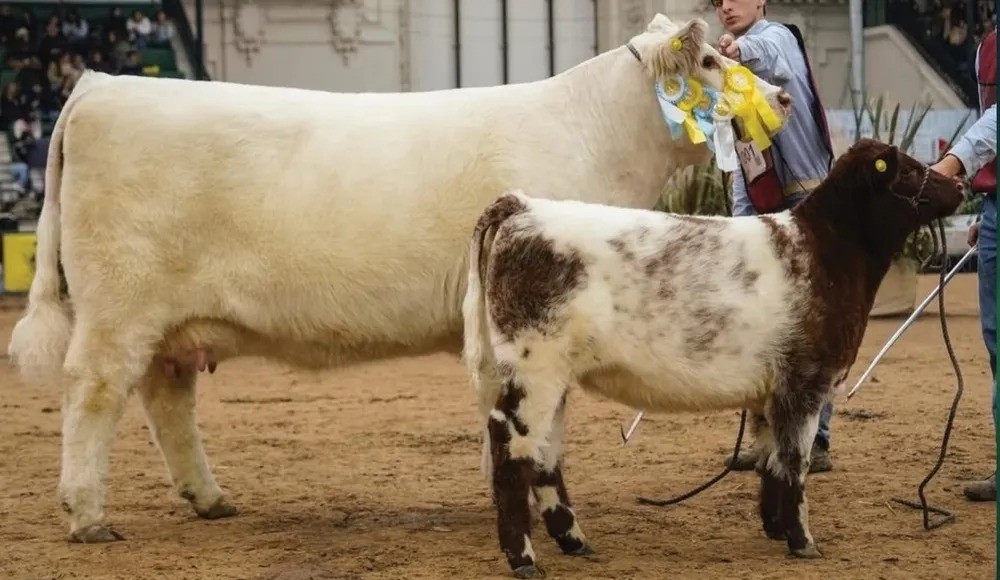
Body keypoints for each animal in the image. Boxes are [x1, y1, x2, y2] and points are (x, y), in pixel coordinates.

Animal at [6, 14, 791, 543]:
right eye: (714, 61)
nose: (782, 98)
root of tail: (100, 85)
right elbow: (539, 417)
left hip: (169, 320)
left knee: (167, 397)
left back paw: (208, 497)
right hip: (118, 305)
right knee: (94, 392)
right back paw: (86, 515)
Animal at [461, 138, 965, 578]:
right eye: (909, 170)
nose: (960, 185)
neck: (827, 252)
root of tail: (523, 205)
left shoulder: (770, 390)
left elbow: (770, 459)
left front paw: (775, 528)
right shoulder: (806, 381)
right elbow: (795, 462)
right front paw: (803, 541)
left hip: (552, 375)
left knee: (545, 454)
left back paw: (575, 541)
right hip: (534, 366)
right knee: (510, 446)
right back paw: (524, 559)